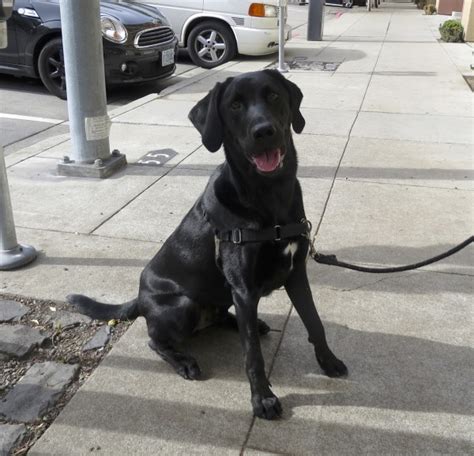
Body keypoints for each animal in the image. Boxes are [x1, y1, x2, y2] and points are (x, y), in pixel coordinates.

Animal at [68, 69, 346, 418]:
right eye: (235, 105)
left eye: (273, 95)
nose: (264, 131)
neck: (270, 197)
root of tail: (140, 297)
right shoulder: (244, 288)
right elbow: (252, 355)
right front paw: (262, 399)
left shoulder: (296, 274)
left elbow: (314, 322)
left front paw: (329, 361)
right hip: (182, 305)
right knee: (155, 340)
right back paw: (184, 361)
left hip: (224, 298)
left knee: (227, 318)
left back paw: (242, 323)